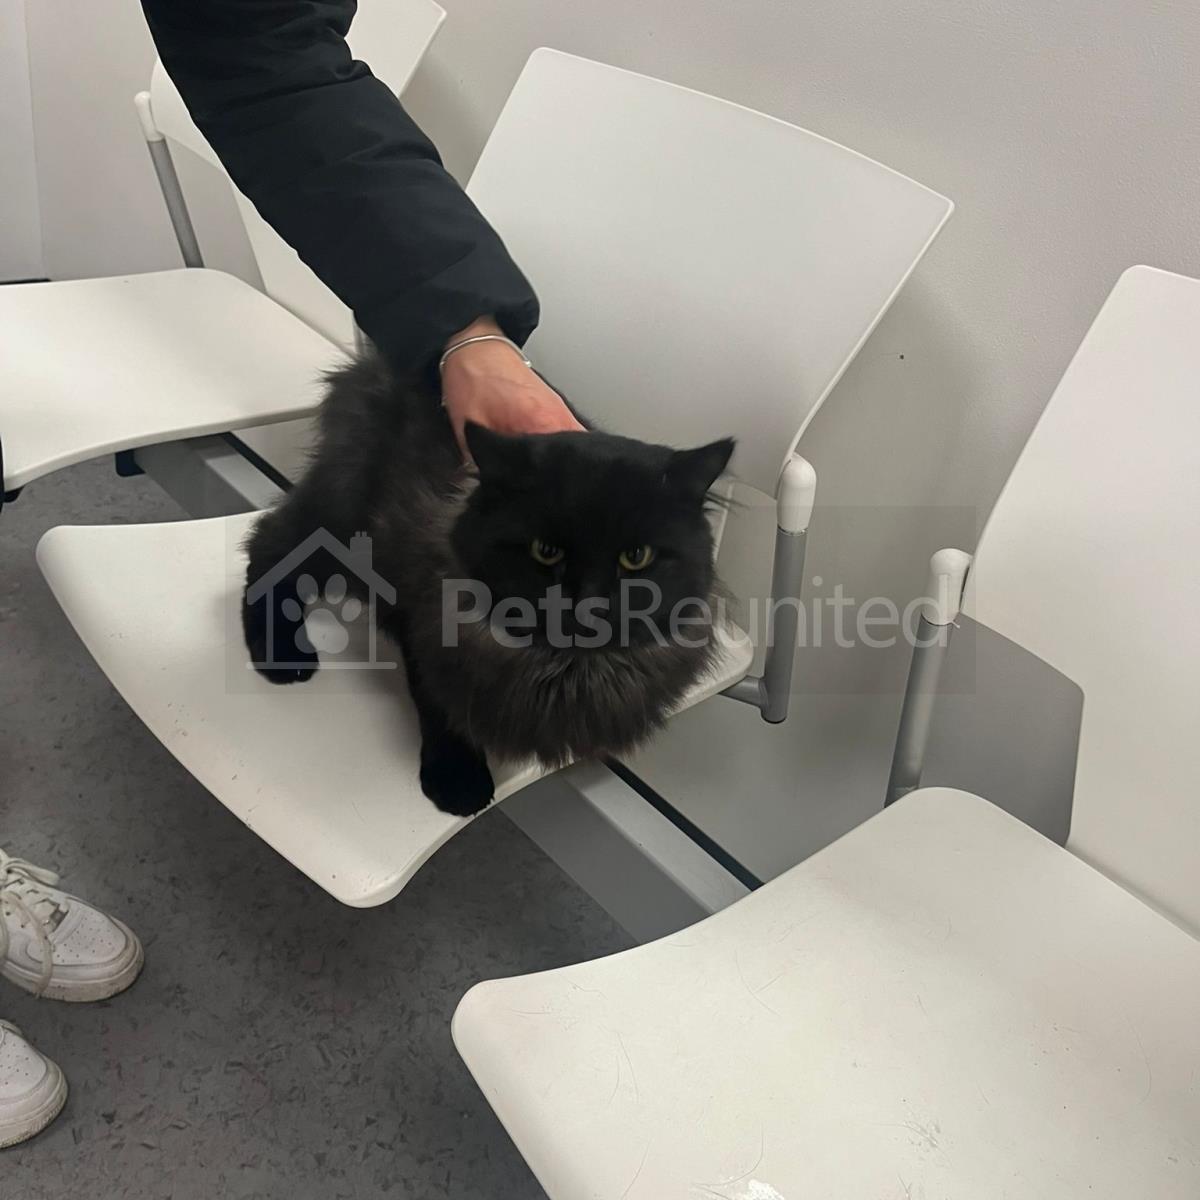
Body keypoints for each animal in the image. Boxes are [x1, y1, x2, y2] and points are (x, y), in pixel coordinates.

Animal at [242, 350, 734, 817]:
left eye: (636, 557)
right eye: (545, 551)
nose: (587, 603)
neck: (564, 670)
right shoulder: (420, 620)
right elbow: (441, 707)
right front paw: (458, 780)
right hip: (339, 526)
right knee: (267, 547)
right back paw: (283, 658)